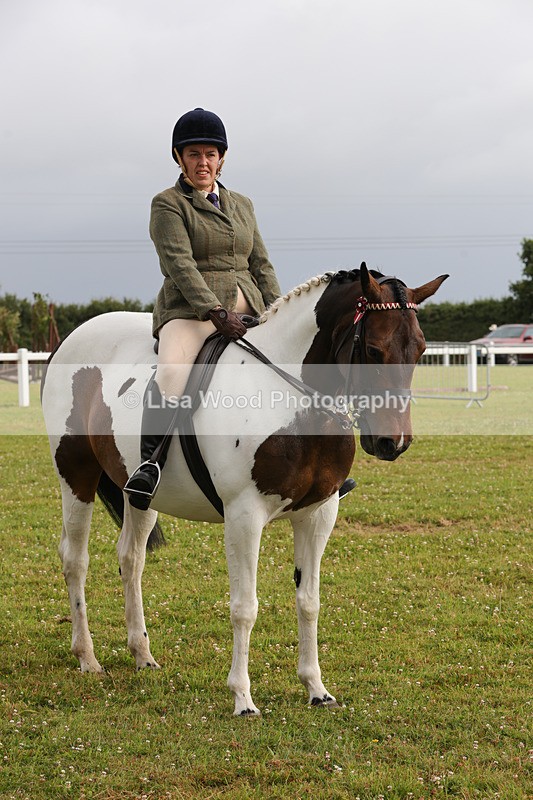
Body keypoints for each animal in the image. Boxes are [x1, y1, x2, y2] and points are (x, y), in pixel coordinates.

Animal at [41, 263, 447, 716]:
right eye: (374, 350)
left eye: (420, 349)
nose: (394, 443)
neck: (291, 400)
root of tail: (72, 337)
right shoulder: (244, 516)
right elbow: (244, 607)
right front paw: (243, 698)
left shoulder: (318, 514)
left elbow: (309, 601)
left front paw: (316, 689)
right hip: (75, 474)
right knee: (75, 560)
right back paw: (87, 657)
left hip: (139, 493)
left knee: (131, 559)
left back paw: (142, 655)